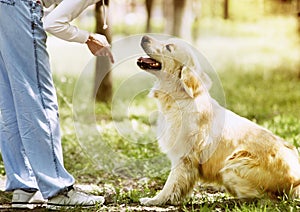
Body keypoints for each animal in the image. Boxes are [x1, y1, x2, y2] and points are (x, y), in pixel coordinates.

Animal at [137, 35, 300, 205]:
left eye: (168, 47)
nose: (144, 37)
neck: (180, 97)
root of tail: (296, 181)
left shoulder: (183, 157)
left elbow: (171, 184)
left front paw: (155, 200)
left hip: (232, 166)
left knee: (267, 198)